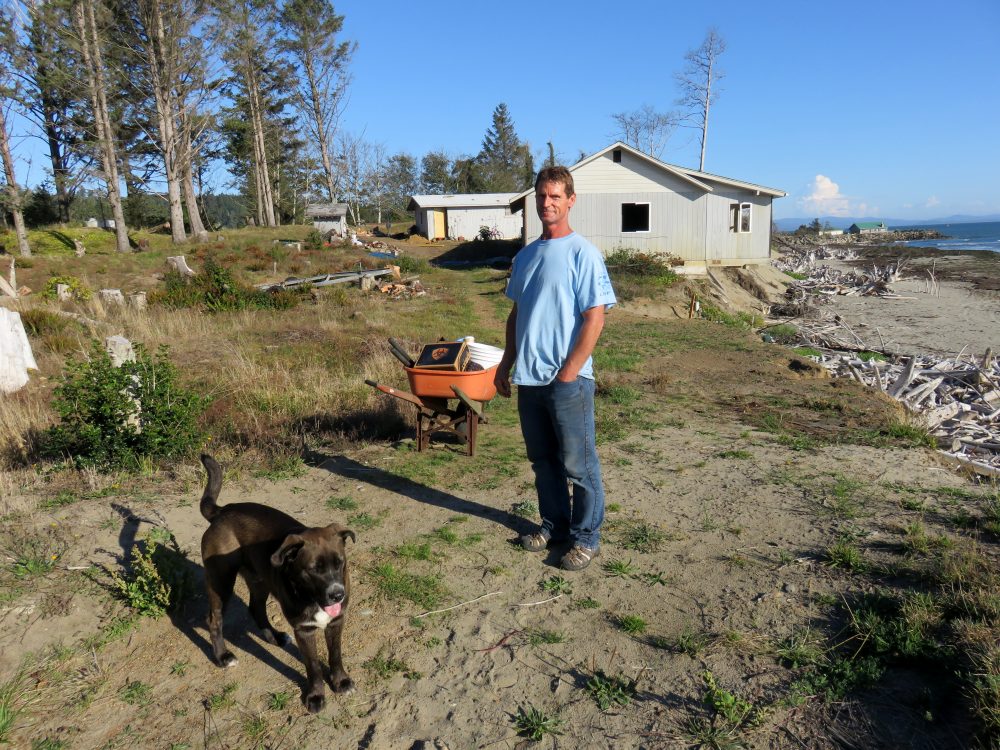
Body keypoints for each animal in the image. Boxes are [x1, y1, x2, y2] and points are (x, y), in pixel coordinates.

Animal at [196, 456, 356, 712]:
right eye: (313, 569)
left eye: (340, 563)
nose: (337, 595)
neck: (311, 597)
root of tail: (222, 511)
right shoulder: (304, 630)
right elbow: (313, 666)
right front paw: (315, 695)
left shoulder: (336, 621)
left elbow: (335, 655)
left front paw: (340, 681)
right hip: (221, 581)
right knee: (214, 620)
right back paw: (222, 657)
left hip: (260, 579)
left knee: (256, 608)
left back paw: (274, 637)